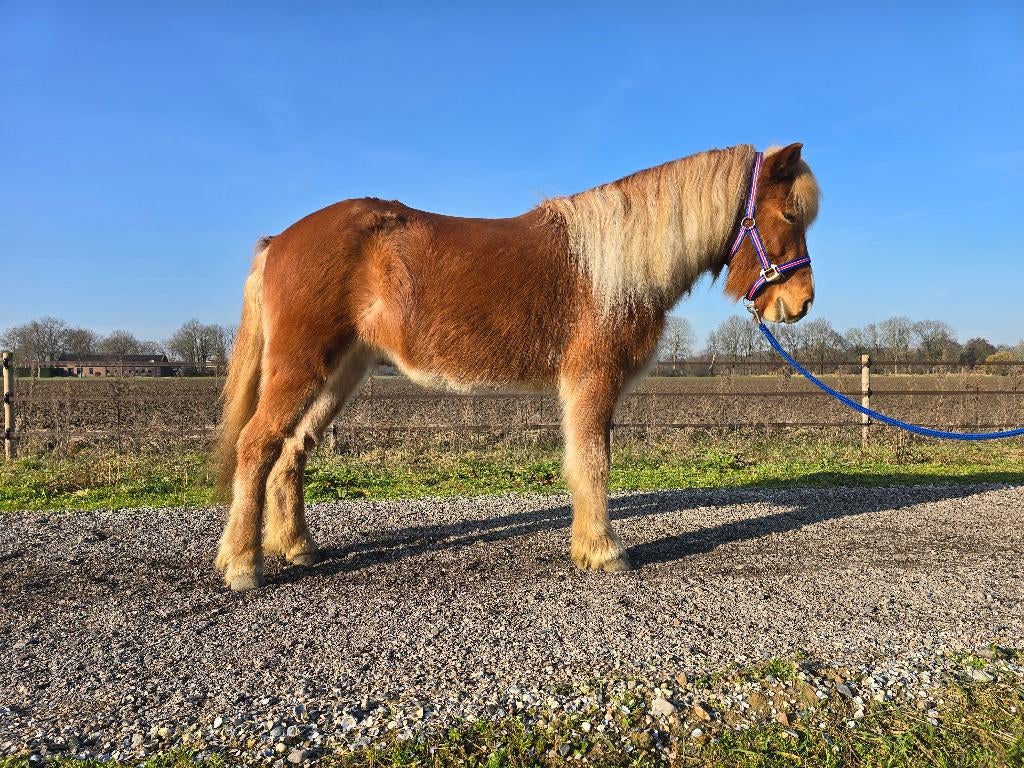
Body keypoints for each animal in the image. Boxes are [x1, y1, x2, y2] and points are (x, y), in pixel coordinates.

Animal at [214, 142, 819, 590]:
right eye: (789, 214)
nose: (800, 303)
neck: (612, 266)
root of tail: (278, 242)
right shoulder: (591, 381)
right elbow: (592, 464)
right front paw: (603, 551)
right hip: (300, 368)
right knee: (257, 445)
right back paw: (243, 565)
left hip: (338, 373)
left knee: (292, 452)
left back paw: (296, 547)